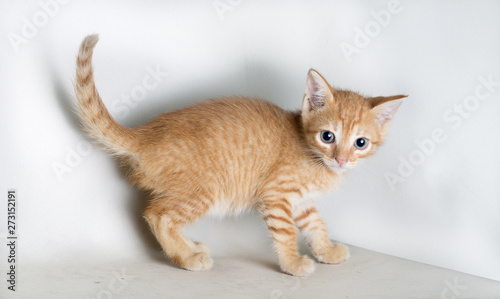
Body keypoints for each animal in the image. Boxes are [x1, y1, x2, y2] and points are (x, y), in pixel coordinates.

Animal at [75, 34, 406, 276]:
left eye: (360, 143)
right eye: (328, 137)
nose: (341, 159)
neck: (312, 155)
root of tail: (146, 134)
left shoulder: (301, 201)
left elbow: (316, 224)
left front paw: (326, 250)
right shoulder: (276, 193)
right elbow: (286, 233)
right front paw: (292, 264)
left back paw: (191, 247)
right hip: (204, 190)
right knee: (158, 215)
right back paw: (186, 258)